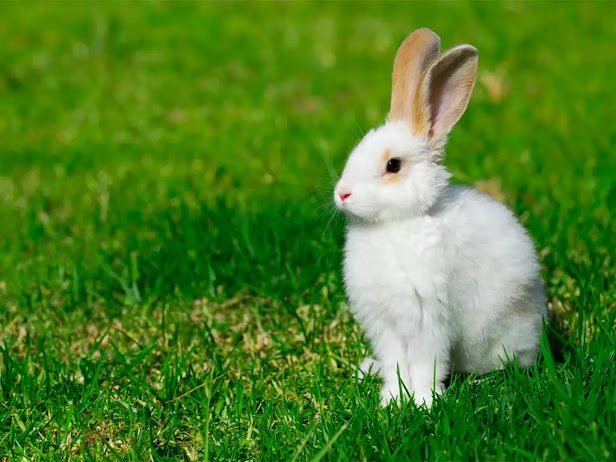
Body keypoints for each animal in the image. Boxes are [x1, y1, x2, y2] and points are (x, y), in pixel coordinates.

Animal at [334, 28, 548, 406]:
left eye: (393, 165)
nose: (342, 194)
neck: (394, 225)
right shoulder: (386, 326)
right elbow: (396, 364)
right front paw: (392, 399)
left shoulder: (427, 319)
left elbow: (425, 364)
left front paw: (422, 403)